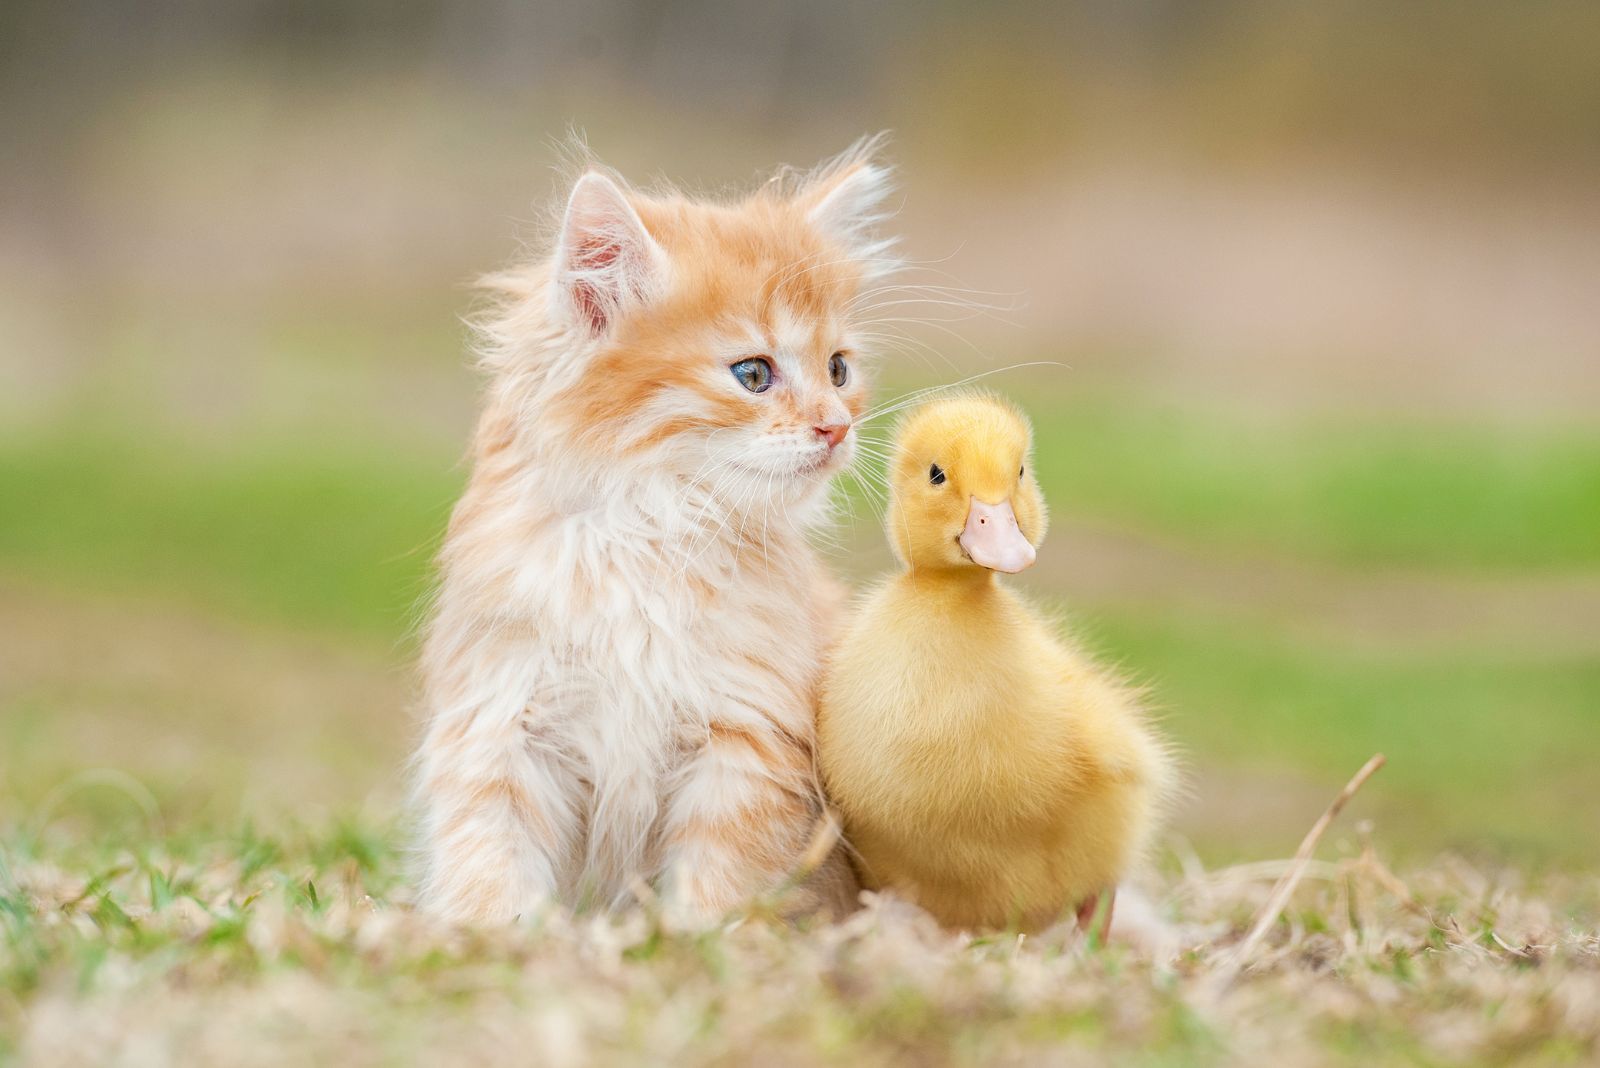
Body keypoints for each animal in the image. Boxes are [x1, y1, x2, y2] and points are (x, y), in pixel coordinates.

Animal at [412, 141, 902, 927]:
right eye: (753, 373)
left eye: (838, 369)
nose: (837, 426)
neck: (650, 531)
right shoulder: (501, 722)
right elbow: (490, 857)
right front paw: (495, 935)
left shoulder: (744, 740)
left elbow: (719, 880)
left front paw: (701, 941)